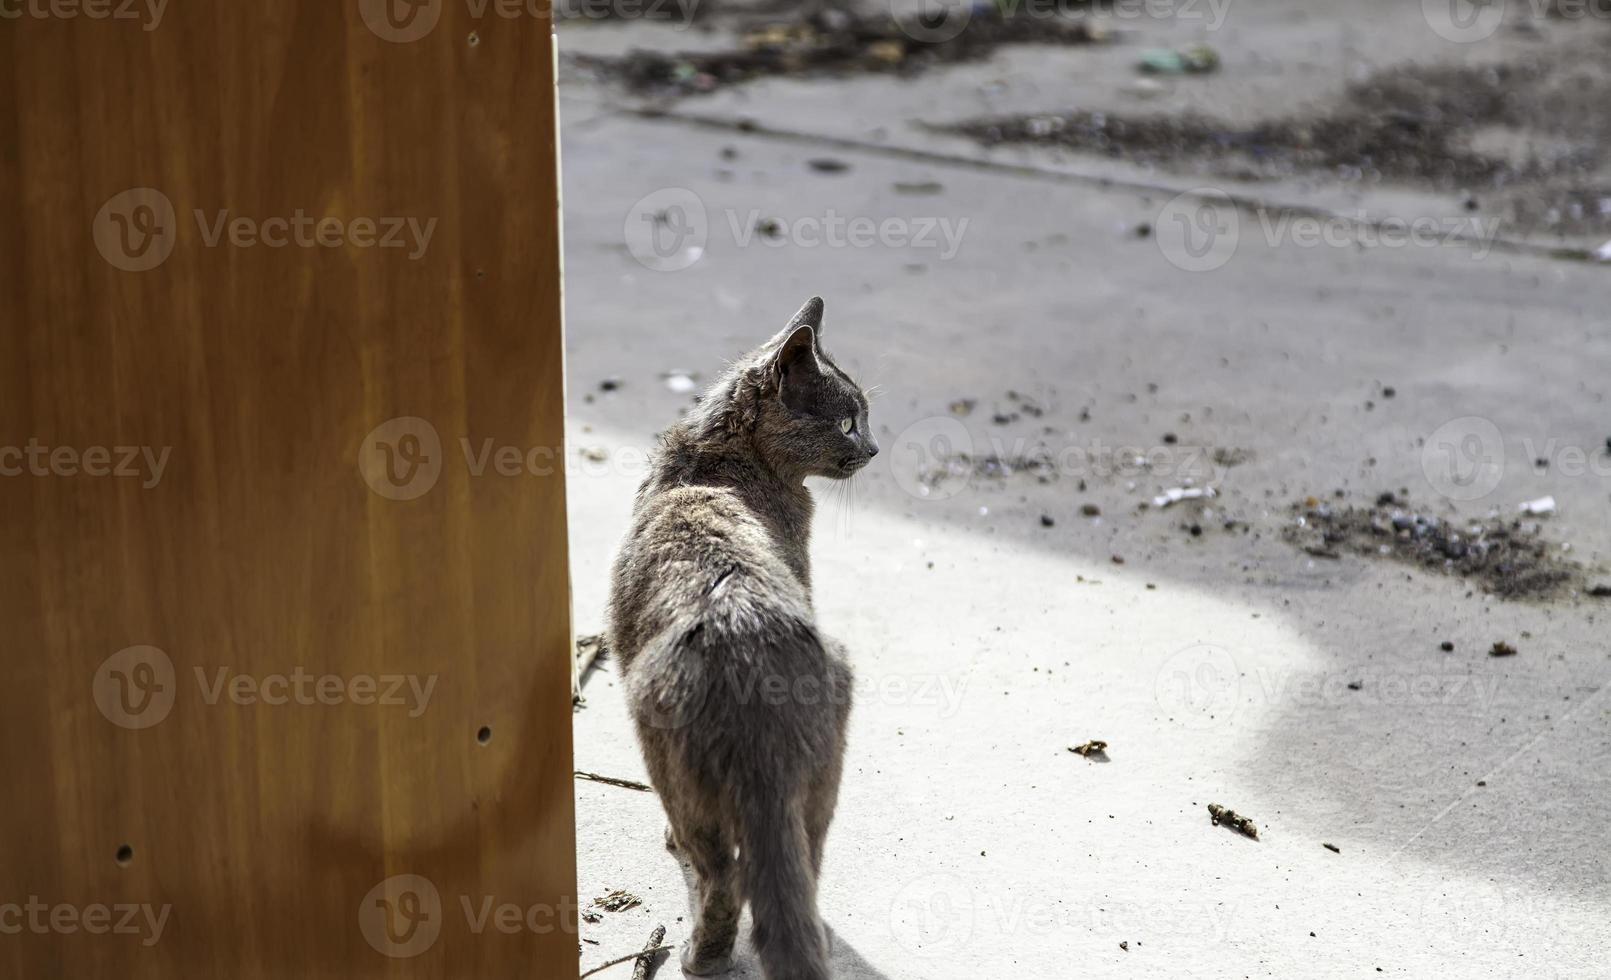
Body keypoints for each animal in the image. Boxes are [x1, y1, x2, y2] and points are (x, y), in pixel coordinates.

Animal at [605, 298, 882, 980]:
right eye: (847, 419)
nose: (873, 446)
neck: (723, 462)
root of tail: (748, 651)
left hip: (666, 757)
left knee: (724, 876)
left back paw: (699, 955)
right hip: (819, 772)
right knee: (795, 872)